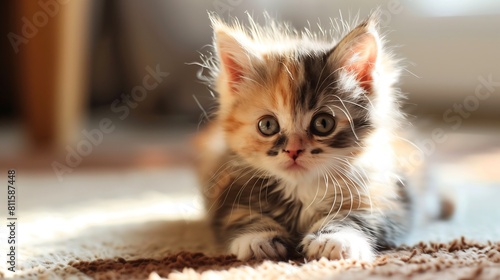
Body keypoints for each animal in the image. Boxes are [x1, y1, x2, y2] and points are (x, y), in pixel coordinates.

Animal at [196, 12, 414, 262]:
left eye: (323, 124)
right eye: (267, 125)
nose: (293, 150)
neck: (302, 189)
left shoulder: (388, 202)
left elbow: (355, 215)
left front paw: (333, 238)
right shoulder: (227, 194)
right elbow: (241, 215)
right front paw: (258, 238)